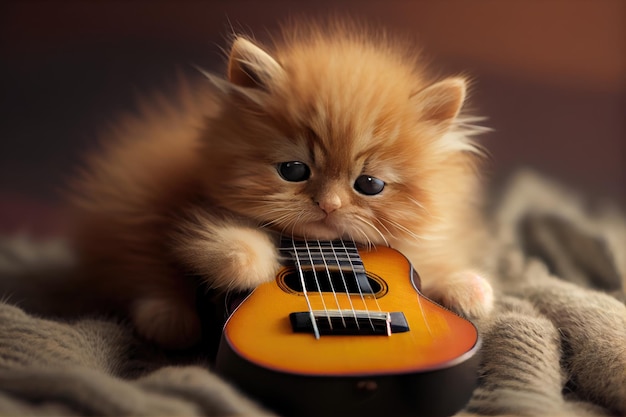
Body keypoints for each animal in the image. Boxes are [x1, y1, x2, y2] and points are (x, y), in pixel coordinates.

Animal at [69, 21, 492, 350]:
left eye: (369, 184)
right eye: (293, 170)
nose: (329, 204)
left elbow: (431, 264)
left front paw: (469, 289)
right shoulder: (190, 210)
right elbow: (218, 242)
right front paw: (251, 264)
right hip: (133, 204)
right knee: (139, 269)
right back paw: (167, 318)